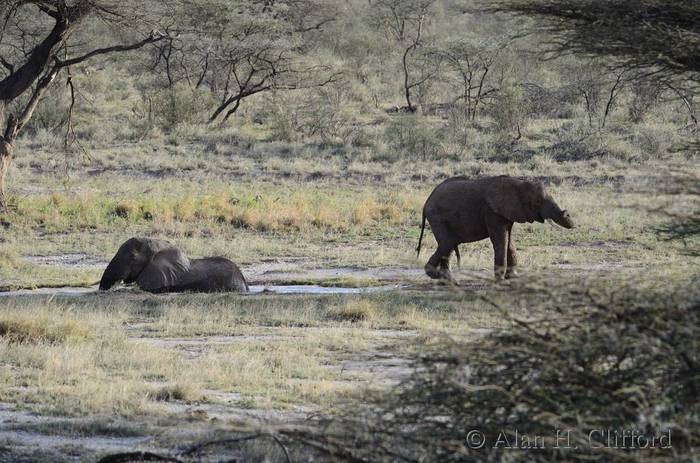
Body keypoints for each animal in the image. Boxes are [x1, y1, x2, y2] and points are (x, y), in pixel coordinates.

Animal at [416, 176, 576, 280]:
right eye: (537, 201)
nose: (567, 214)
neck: (518, 183)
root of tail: (426, 202)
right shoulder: (492, 212)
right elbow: (501, 240)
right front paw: (500, 280)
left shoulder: (507, 213)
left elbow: (509, 241)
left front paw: (512, 278)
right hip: (437, 217)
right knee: (447, 243)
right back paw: (439, 277)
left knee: (448, 245)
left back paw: (448, 281)